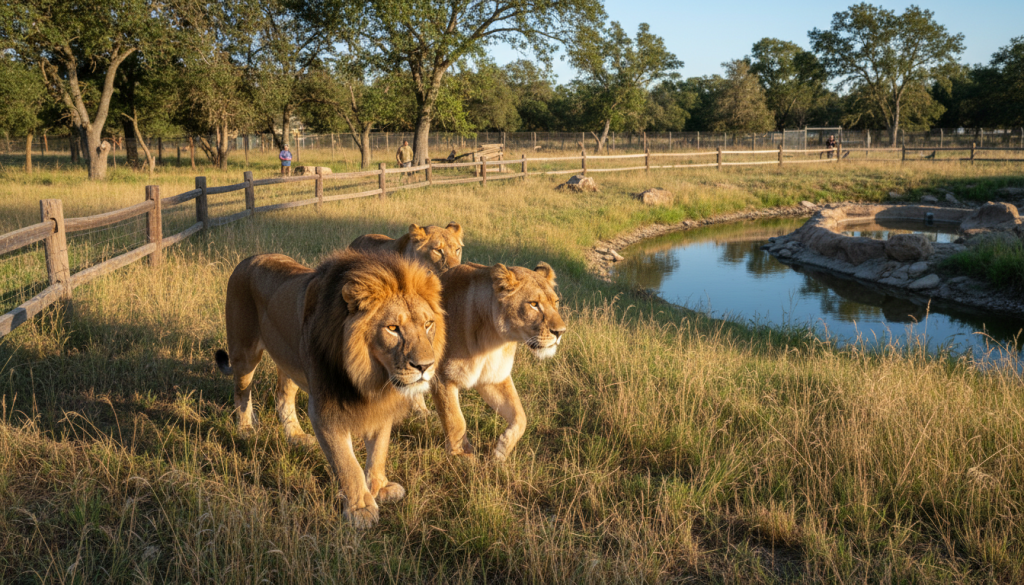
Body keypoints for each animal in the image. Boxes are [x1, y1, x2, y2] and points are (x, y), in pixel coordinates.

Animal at [214, 250, 446, 528]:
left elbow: (379, 450)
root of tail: (250, 258)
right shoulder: (324, 409)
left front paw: (380, 488)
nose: (425, 366)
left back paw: (296, 436)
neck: (371, 377)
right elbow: (347, 463)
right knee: (241, 392)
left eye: (428, 324)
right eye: (392, 328)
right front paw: (360, 508)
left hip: (291, 360)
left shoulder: (379, 406)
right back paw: (246, 429)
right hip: (244, 353)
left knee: (282, 396)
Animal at [430, 261, 566, 461]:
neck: (493, 340)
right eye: (534, 304)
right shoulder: (441, 377)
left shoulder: (493, 378)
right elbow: (455, 419)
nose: (560, 332)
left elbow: (520, 416)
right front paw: (460, 456)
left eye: (555, 302)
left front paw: (501, 450)